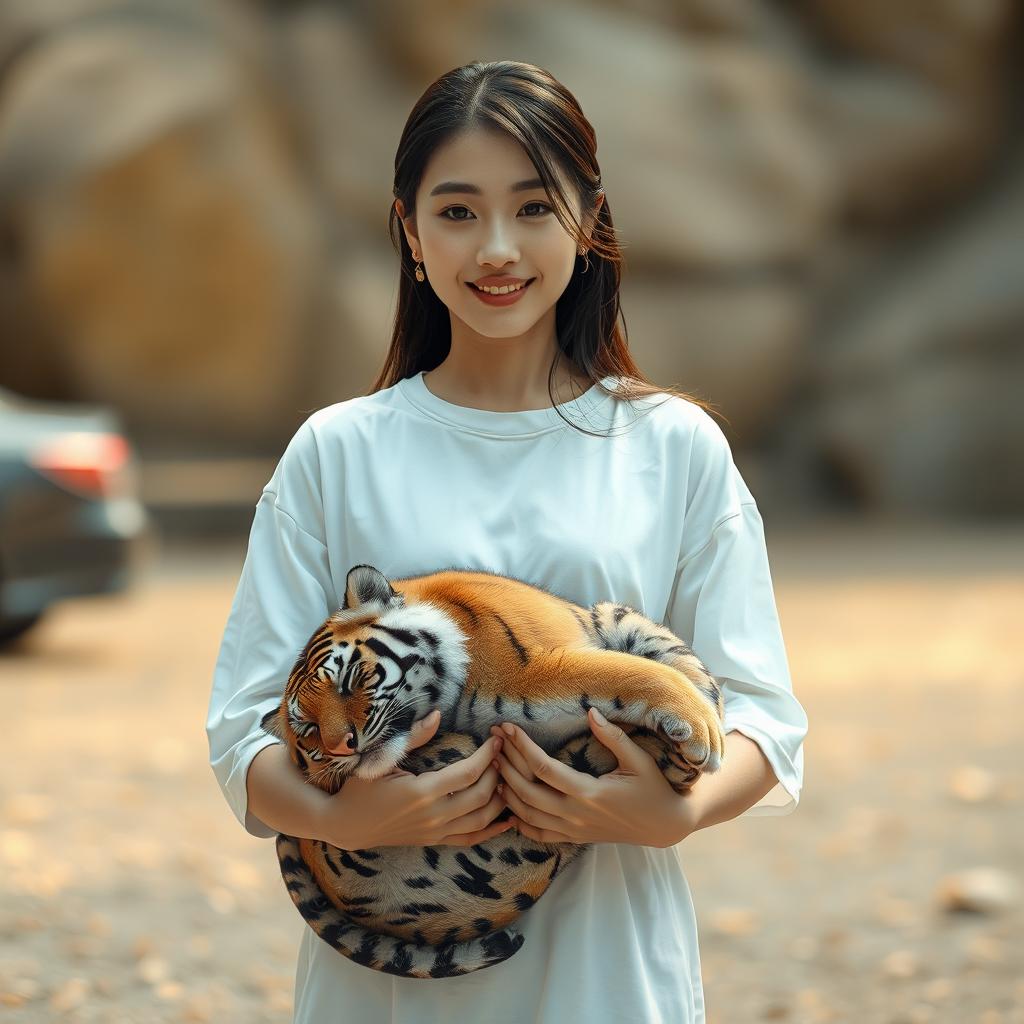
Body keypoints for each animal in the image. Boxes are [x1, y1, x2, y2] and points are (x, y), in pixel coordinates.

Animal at [264, 565, 729, 978]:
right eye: (308, 730)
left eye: (348, 679)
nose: (342, 745)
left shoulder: (536, 670)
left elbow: (627, 672)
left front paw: (703, 729)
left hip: (614, 613)